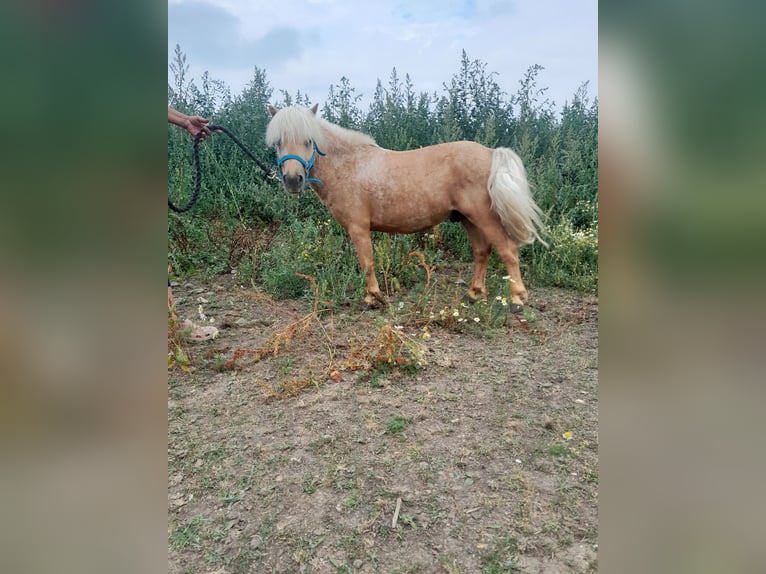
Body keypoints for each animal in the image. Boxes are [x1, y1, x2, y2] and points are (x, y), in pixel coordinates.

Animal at [268, 101, 548, 312]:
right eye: (278, 142)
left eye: (309, 141)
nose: (293, 180)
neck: (349, 166)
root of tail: (490, 153)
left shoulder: (359, 228)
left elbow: (367, 263)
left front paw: (372, 298)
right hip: (469, 219)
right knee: (482, 252)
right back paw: (473, 294)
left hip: (484, 217)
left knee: (508, 251)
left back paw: (516, 299)